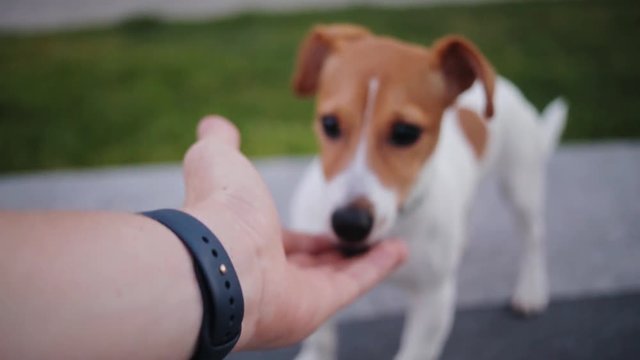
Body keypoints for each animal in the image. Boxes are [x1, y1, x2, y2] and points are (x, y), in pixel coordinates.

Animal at [288, 23, 568, 358]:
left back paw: (531, 289)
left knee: (533, 237)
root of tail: (503, 83)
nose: (349, 224)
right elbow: (321, 335)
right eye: (329, 124)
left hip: (521, 183)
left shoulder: (434, 298)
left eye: (405, 132)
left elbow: (415, 350)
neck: (400, 220)